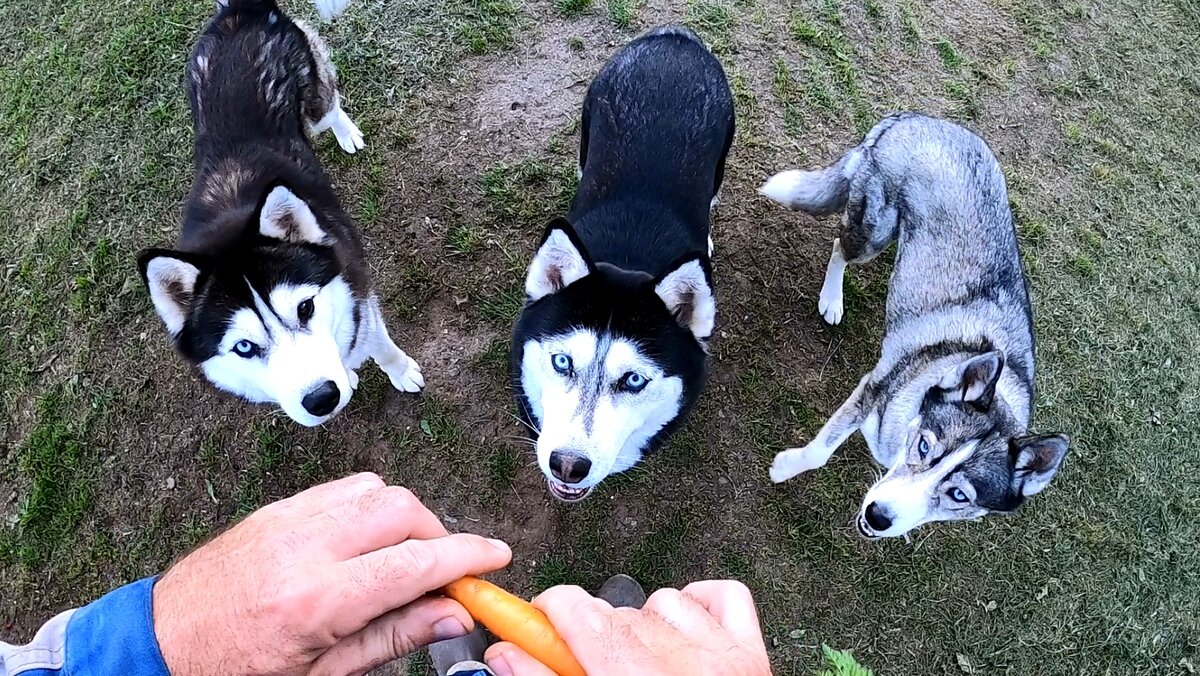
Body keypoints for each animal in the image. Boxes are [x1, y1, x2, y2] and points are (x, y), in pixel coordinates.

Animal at [758, 113, 1070, 542]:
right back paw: (832, 299)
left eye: (959, 495)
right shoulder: (869, 390)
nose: (877, 516)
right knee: (840, 248)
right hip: (872, 232)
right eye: (925, 448)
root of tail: (916, 118)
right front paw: (786, 467)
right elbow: (820, 451)